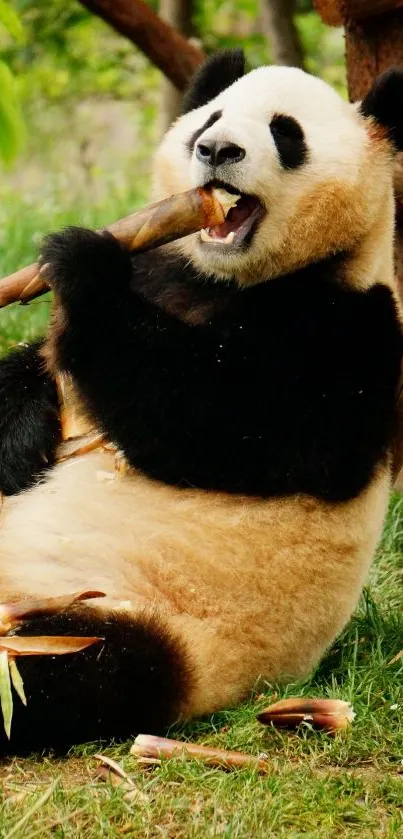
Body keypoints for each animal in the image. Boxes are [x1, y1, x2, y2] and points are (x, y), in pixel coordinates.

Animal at [0, 49, 403, 752]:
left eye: (286, 134)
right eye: (209, 120)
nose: (216, 150)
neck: (225, 279)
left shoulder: (349, 332)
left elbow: (217, 418)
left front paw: (82, 263)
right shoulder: (164, 269)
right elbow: (36, 372)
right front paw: (24, 437)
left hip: (142, 620)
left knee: (76, 668)